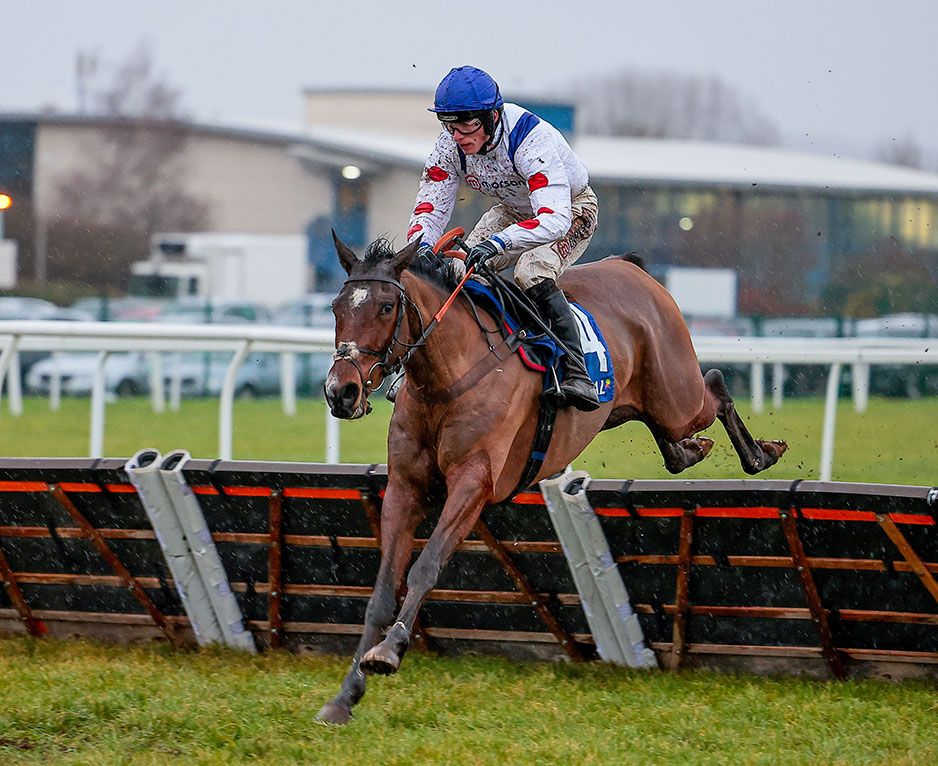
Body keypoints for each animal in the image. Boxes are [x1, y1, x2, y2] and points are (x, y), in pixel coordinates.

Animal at [314, 234, 784, 728]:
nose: (341, 392)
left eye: (387, 307)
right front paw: (345, 696)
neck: (445, 378)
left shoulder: (473, 483)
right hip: (628, 407)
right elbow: (382, 591)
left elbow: (427, 566)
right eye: (336, 307)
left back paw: (761, 453)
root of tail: (629, 268)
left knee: (714, 384)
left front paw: (389, 650)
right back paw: (696, 449)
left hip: (677, 397)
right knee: (674, 446)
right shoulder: (406, 487)